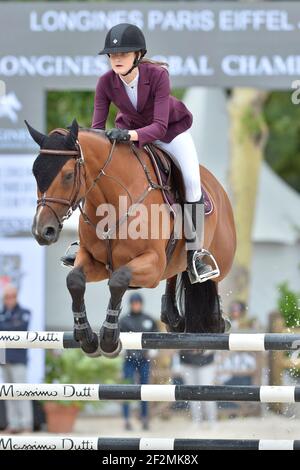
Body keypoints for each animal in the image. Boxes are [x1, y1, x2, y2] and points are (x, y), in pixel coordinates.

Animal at [25, 119, 237, 358]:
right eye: (35, 173)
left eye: (68, 175)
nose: (42, 231)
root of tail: (217, 186)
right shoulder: (96, 262)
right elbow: (75, 280)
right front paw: (86, 337)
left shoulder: (152, 264)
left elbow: (119, 280)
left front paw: (109, 339)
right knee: (175, 272)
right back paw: (171, 315)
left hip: (222, 257)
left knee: (210, 279)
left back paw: (215, 311)